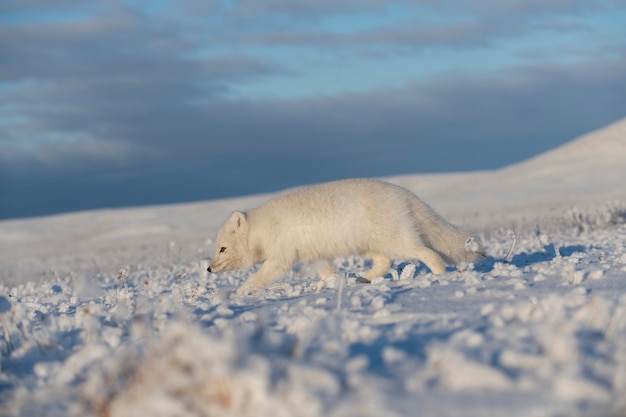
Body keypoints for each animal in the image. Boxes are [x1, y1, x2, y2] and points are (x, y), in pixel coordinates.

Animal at [207, 177, 480, 294]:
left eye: (222, 248)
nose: (209, 269)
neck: (262, 230)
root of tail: (402, 193)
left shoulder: (280, 259)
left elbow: (255, 278)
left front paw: (236, 295)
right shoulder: (312, 255)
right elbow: (326, 272)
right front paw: (330, 284)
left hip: (396, 240)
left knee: (430, 255)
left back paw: (440, 278)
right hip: (369, 244)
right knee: (385, 262)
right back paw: (363, 279)